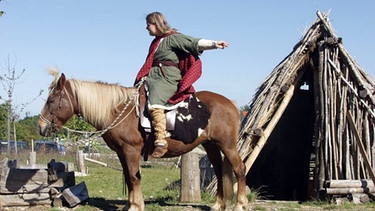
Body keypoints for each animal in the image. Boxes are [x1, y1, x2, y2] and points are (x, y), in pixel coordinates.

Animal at [38, 71, 250, 211]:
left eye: (51, 100)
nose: (41, 127)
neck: (116, 110)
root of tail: (230, 103)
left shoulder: (130, 151)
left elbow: (134, 178)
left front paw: (135, 206)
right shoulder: (121, 153)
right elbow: (129, 177)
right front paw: (130, 205)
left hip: (227, 145)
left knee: (240, 169)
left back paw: (240, 204)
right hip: (211, 145)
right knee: (219, 171)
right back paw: (218, 204)